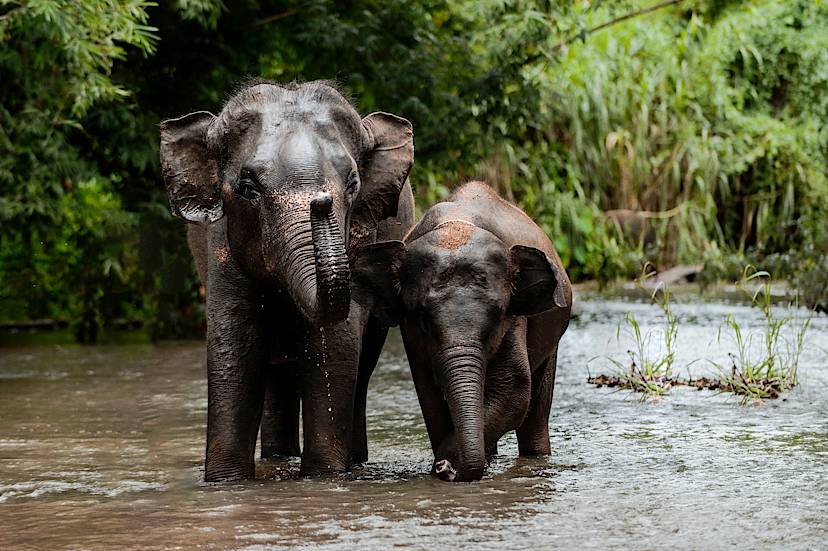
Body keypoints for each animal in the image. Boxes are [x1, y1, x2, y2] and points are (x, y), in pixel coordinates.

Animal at [159, 80, 415, 481]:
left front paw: (323, 476)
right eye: (248, 187)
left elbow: (334, 346)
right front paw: (226, 481)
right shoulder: (221, 247)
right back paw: (278, 457)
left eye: (353, 184)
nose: (321, 202)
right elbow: (234, 346)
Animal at [352, 181, 571, 482]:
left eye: (498, 313)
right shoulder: (412, 337)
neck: (457, 225)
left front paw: (448, 464)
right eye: (421, 316)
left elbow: (514, 389)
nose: (445, 468)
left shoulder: (516, 319)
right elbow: (429, 394)